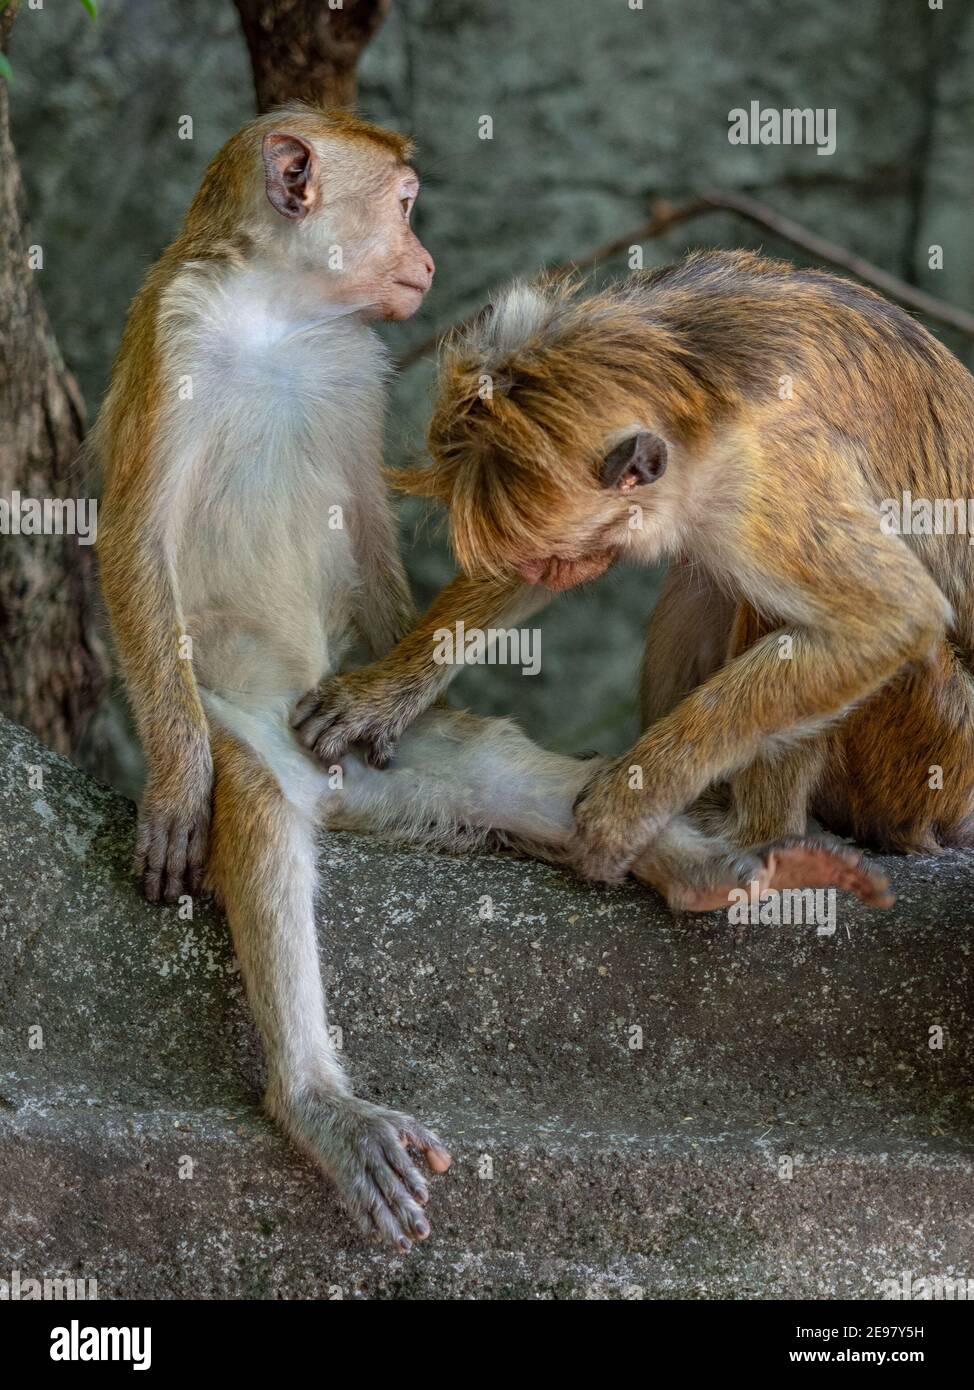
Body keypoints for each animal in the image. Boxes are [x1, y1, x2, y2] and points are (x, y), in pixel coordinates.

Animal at [298, 250, 972, 900]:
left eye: (553, 557)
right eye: (536, 560)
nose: (548, 571)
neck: (697, 377)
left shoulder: (772, 473)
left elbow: (892, 617)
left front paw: (632, 799)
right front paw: (383, 694)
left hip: (932, 745)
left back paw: (752, 835)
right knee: (703, 584)